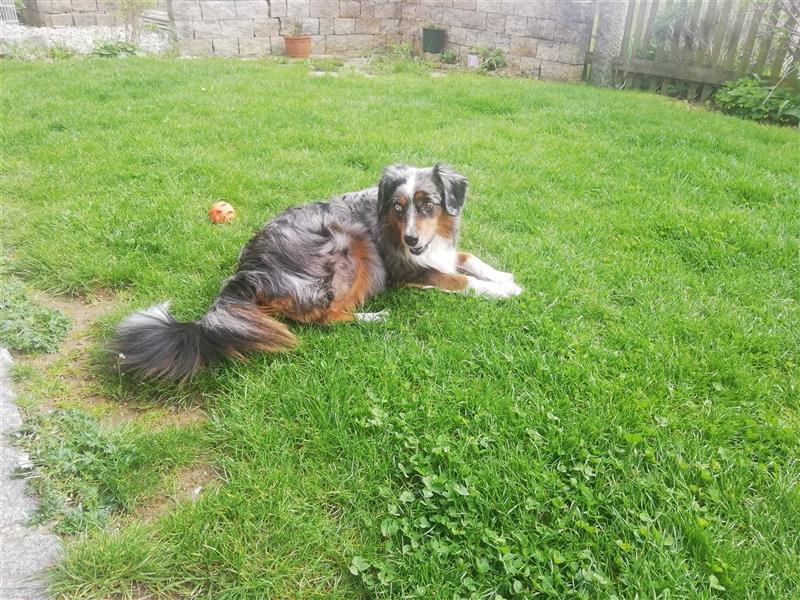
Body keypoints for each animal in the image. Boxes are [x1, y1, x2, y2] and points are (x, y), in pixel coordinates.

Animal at [114, 164, 524, 380]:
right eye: (398, 206)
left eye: (428, 205)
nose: (410, 239)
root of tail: (246, 273)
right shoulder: (406, 269)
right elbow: (459, 279)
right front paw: (505, 292)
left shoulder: (438, 252)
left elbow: (467, 258)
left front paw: (502, 276)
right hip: (350, 245)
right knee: (325, 316)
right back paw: (375, 317)